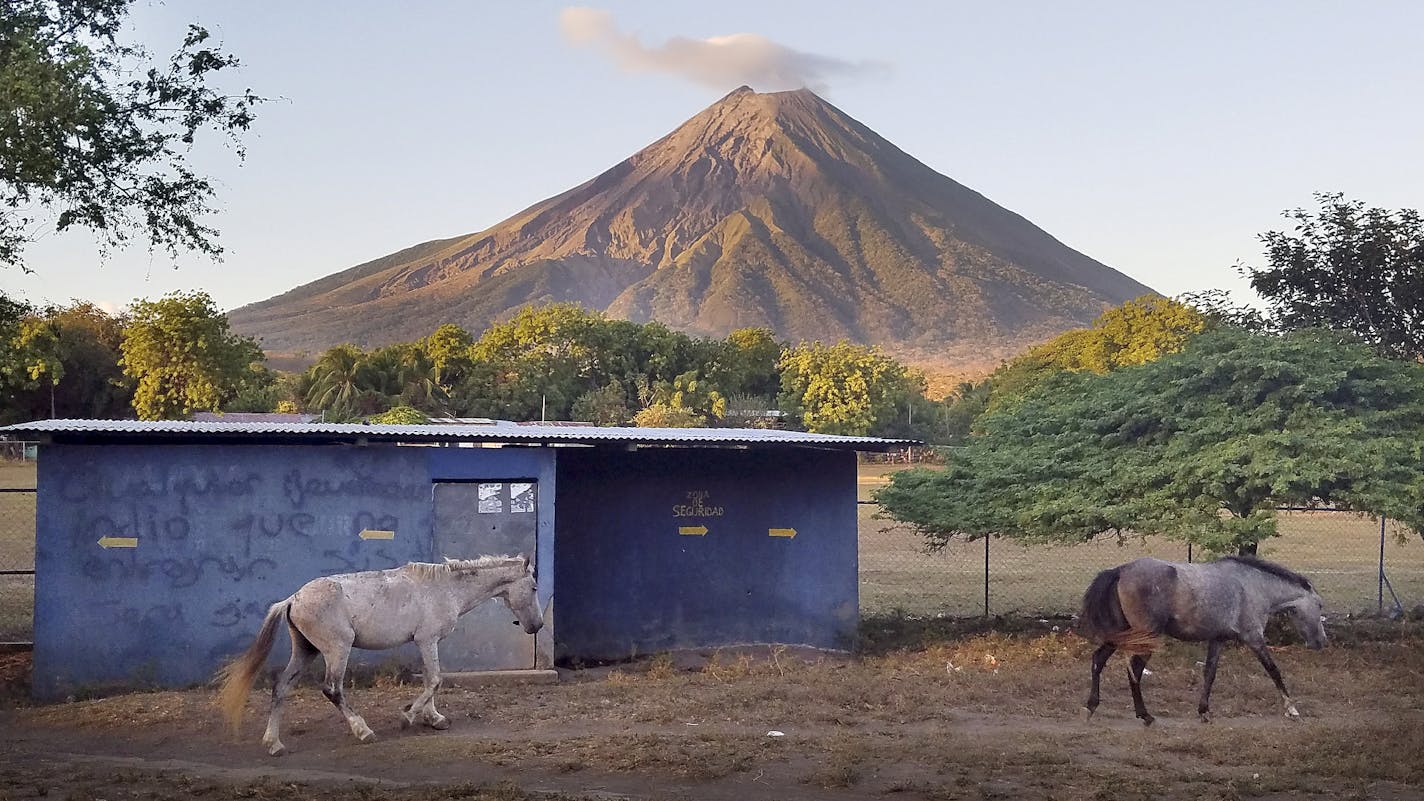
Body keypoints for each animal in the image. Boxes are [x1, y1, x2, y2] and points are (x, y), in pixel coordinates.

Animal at [217, 553, 543, 752]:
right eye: (534, 587)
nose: (537, 625)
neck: (444, 588)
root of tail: (293, 599)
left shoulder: (427, 642)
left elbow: (432, 680)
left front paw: (434, 718)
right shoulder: (427, 640)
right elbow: (435, 681)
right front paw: (408, 716)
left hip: (305, 651)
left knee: (281, 687)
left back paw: (274, 744)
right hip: (337, 649)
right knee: (332, 689)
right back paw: (363, 731)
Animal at [1076, 555, 1321, 724]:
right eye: (1319, 605)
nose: (1321, 642)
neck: (1253, 586)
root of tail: (1120, 570)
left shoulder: (1218, 639)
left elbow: (1209, 674)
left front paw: (1204, 711)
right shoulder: (1254, 638)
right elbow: (1273, 670)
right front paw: (1292, 710)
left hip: (1122, 633)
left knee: (1098, 660)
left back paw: (1091, 707)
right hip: (1145, 636)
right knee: (1134, 670)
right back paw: (1145, 716)